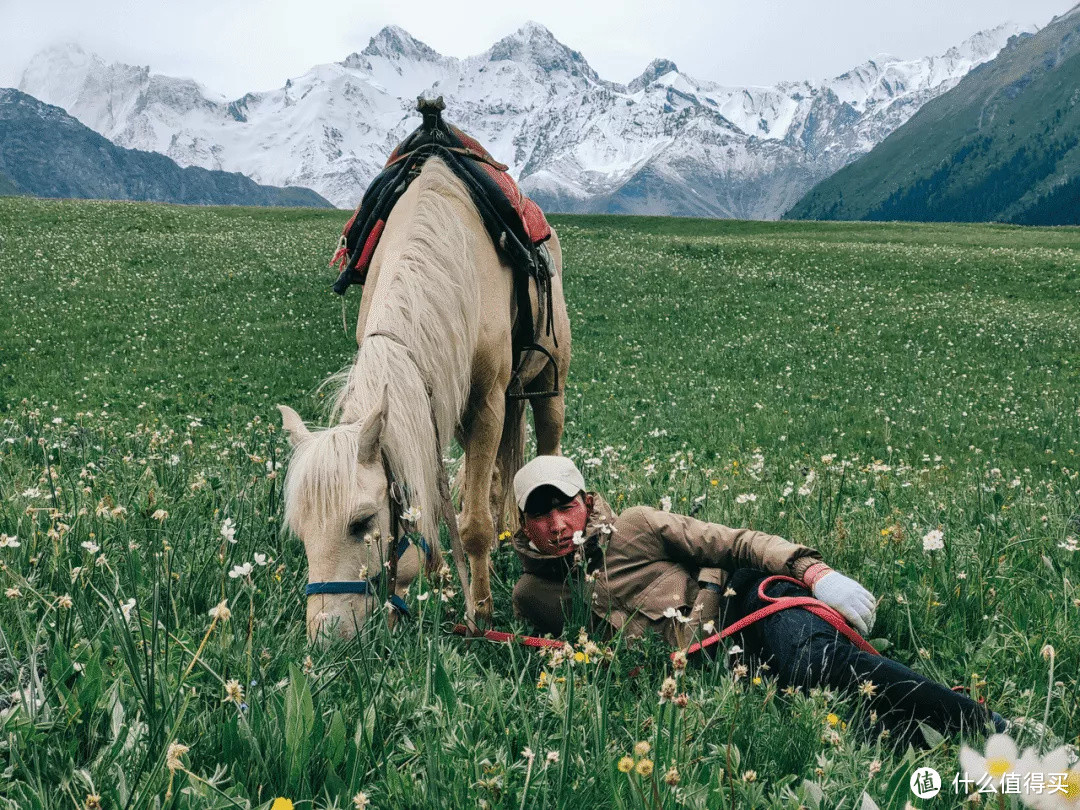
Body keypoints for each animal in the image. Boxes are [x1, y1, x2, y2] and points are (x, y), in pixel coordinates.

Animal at [278, 156, 574, 639]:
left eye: (362, 522)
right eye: (301, 531)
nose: (326, 637)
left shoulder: (487, 405)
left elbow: (473, 525)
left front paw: (480, 613)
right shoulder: (432, 402)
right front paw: (434, 580)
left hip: (550, 387)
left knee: (546, 447)